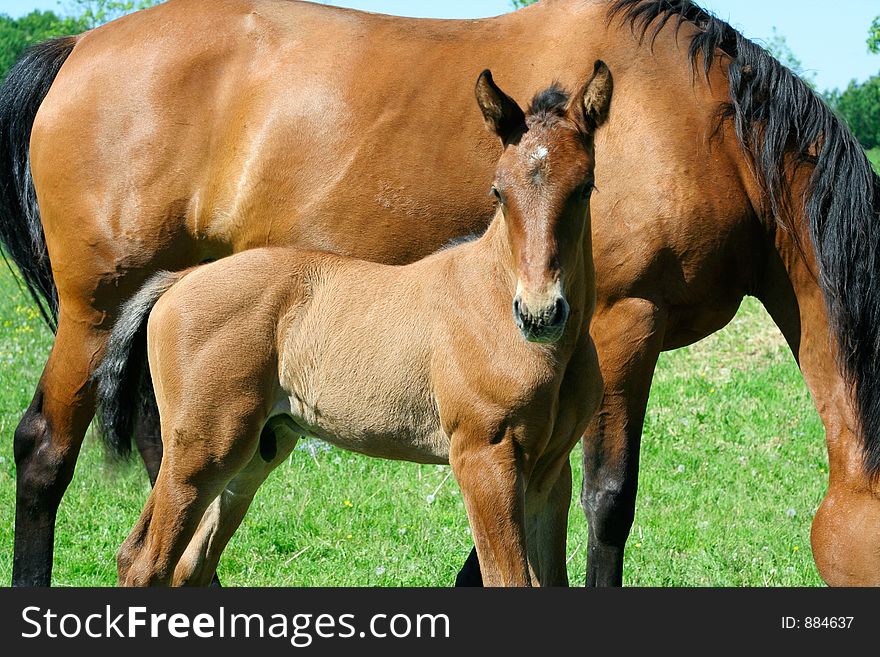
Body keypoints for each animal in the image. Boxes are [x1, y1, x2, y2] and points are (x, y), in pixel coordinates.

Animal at [111, 65, 612, 584]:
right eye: (499, 191)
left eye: (585, 187)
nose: (539, 313)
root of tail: (181, 279)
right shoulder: (484, 457)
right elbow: (509, 578)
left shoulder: (550, 472)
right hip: (201, 450)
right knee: (144, 559)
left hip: (254, 454)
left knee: (188, 563)